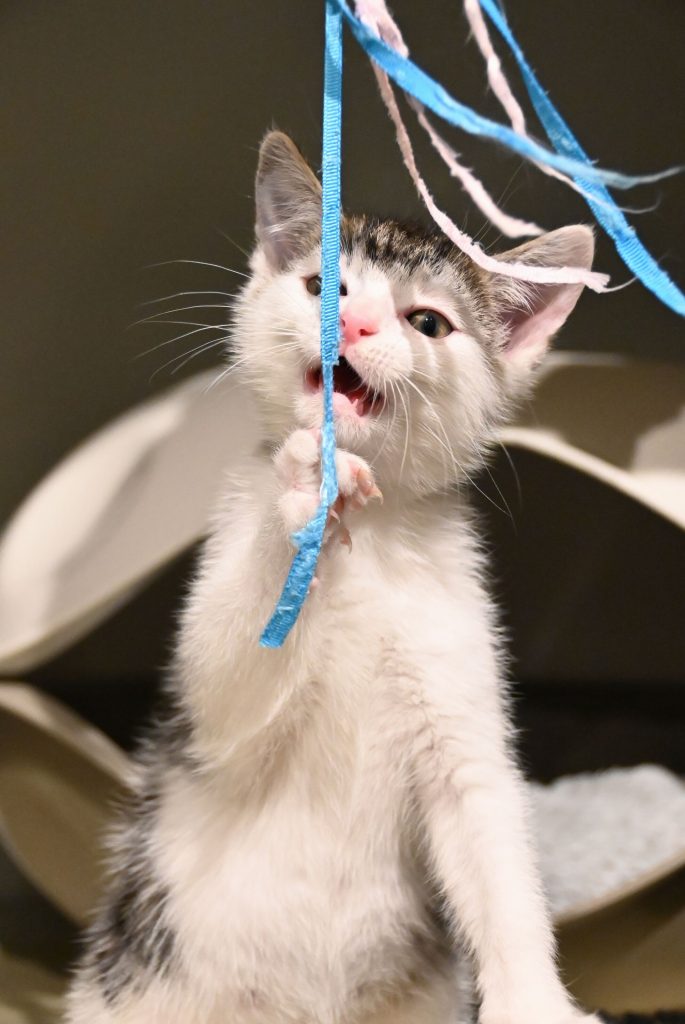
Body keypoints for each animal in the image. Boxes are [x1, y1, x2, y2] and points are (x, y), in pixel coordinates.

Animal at [66, 131, 600, 1024]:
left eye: (427, 322)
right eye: (324, 286)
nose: (348, 320)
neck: (369, 544)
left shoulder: (462, 711)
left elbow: (495, 856)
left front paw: (534, 1001)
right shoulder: (211, 711)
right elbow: (229, 678)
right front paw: (304, 491)